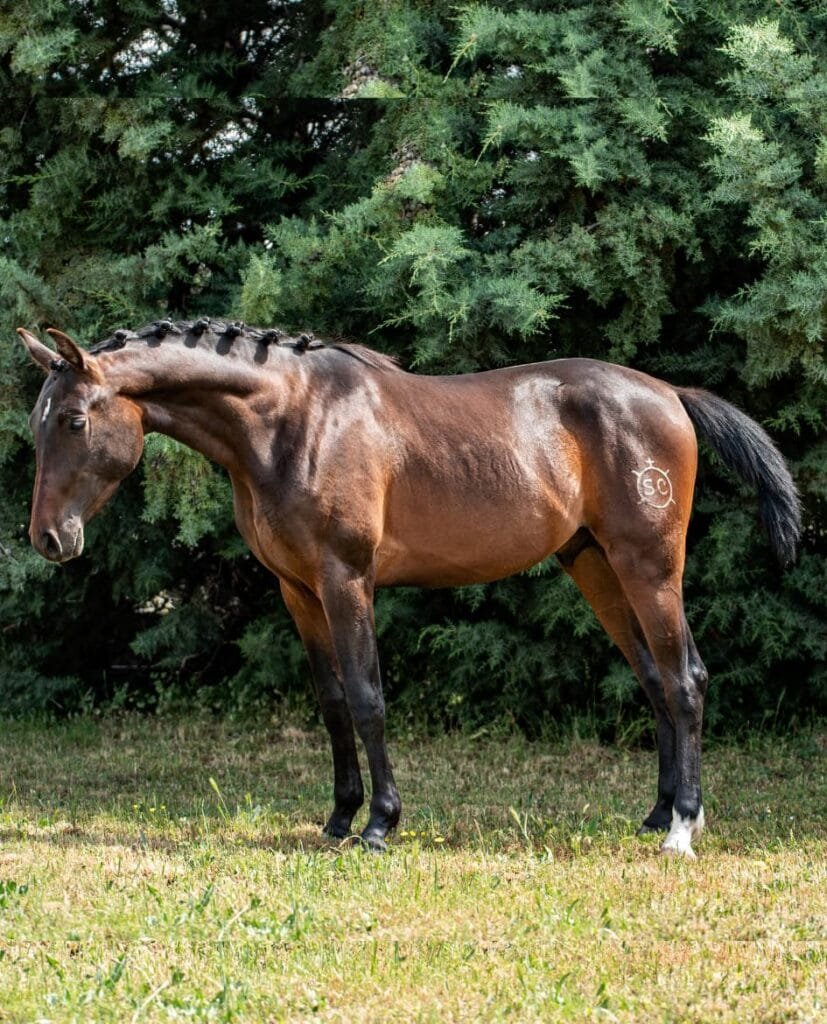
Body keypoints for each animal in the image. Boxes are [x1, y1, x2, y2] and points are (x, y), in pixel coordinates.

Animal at [14, 317, 802, 856]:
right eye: (37, 423)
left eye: (76, 420)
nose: (49, 538)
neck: (292, 420)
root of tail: (669, 394)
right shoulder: (297, 590)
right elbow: (333, 704)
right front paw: (337, 818)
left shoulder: (346, 580)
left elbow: (367, 699)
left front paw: (379, 823)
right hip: (596, 567)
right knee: (654, 680)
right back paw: (656, 814)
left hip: (649, 567)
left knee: (685, 678)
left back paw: (682, 828)